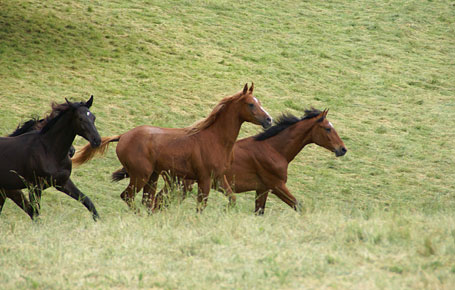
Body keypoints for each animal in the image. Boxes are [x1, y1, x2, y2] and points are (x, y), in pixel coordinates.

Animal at [73, 83, 272, 211]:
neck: (215, 139)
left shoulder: (218, 179)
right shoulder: (204, 179)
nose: (269, 120)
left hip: (152, 177)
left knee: (147, 201)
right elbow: (201, 206)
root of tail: (123, 136)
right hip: (140, 175)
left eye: (260, 102)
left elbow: (232, 199)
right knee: (128, 197)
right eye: (251, 104)